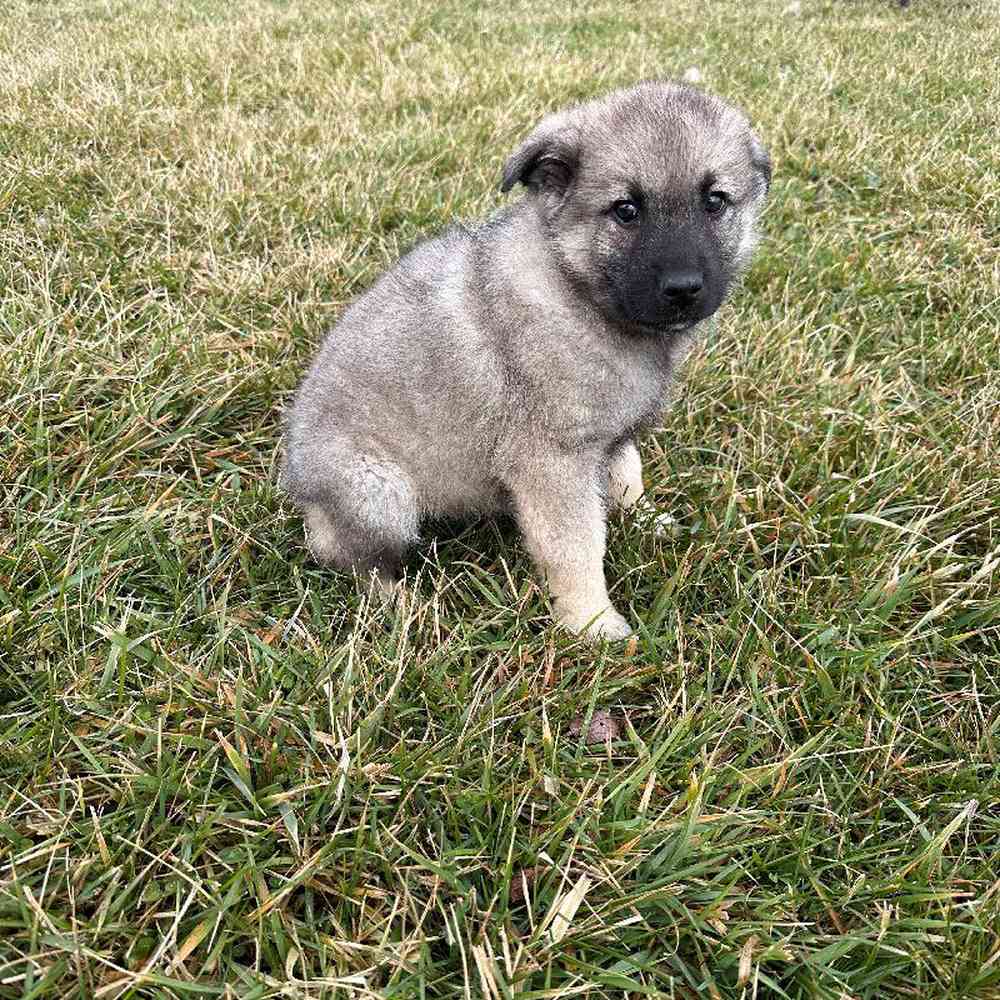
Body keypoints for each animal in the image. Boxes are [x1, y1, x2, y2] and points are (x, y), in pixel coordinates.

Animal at [286, 82, 768, 636]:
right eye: (625, 210)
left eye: (715, 201)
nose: (684, 289)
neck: (575, 288)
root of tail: (298, 487)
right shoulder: (553, 462)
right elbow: (576, 547)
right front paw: (592, 623)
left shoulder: (608, 436)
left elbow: (628, 475)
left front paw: (648, 521)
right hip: (378, 490)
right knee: (350, 558)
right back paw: (405, 604)